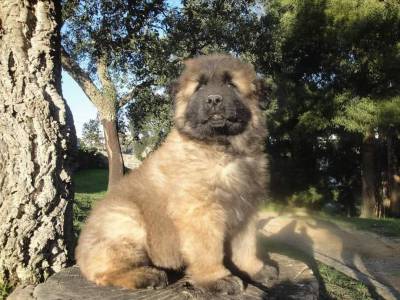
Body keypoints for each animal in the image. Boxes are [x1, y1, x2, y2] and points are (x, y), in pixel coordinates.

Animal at [75, 54, 268, 296]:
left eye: (231, 85)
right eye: (199, 87)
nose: (214, 100)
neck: (223, 149)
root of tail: (79, 254)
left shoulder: (246, 209)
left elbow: (246, 246)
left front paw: (255, 268)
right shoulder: (200, 212)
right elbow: (208, 249)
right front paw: (217, 278)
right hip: (127, 220)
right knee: (103, 273)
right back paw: (147, 275)